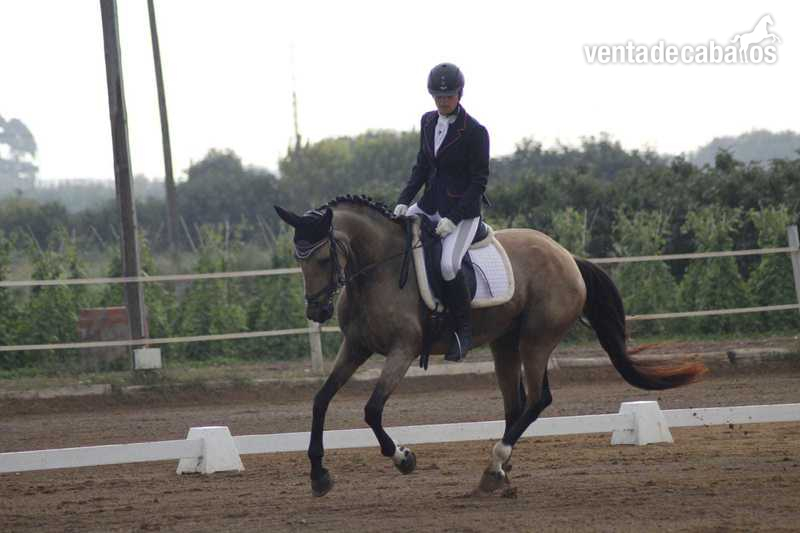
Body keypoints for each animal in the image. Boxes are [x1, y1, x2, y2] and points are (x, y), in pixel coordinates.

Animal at [274, 195, 707, 497]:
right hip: (506, 344)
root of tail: (566, 256)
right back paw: (501, 469)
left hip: (536, 340)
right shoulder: (356, 347)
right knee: (516, 405)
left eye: (324, 257)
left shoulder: (403, 350)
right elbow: (321, 400)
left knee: (538, 399)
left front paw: (404, 458)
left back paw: (494, 466)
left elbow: (372, 410)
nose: (317, 310)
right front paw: (319, 475)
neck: (380, 269)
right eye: (297, 259)